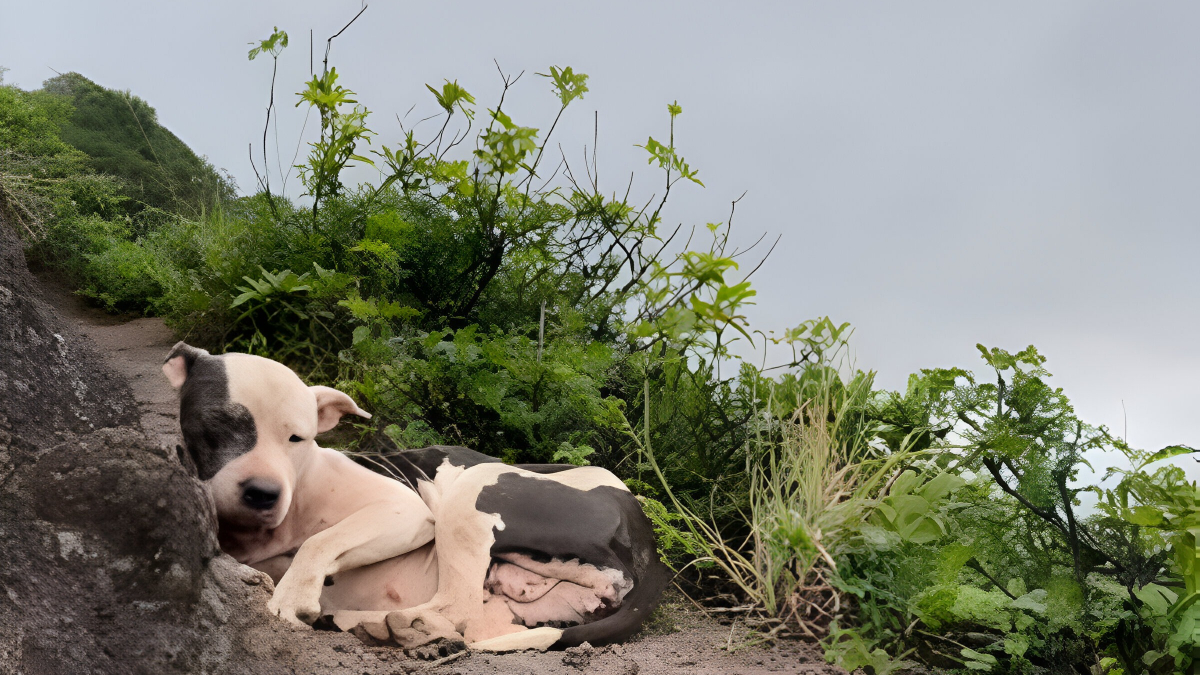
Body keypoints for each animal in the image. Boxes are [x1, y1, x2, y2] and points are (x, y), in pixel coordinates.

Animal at [160, 343, 672, 648]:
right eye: (220, 422)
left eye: (297, 438)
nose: (263, 492)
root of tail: (642, 526)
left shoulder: (402, 511)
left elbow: (320, 541)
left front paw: (292, 595)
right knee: (474, 620)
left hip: (472, 492)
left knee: (456, 605)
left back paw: (382, 622)